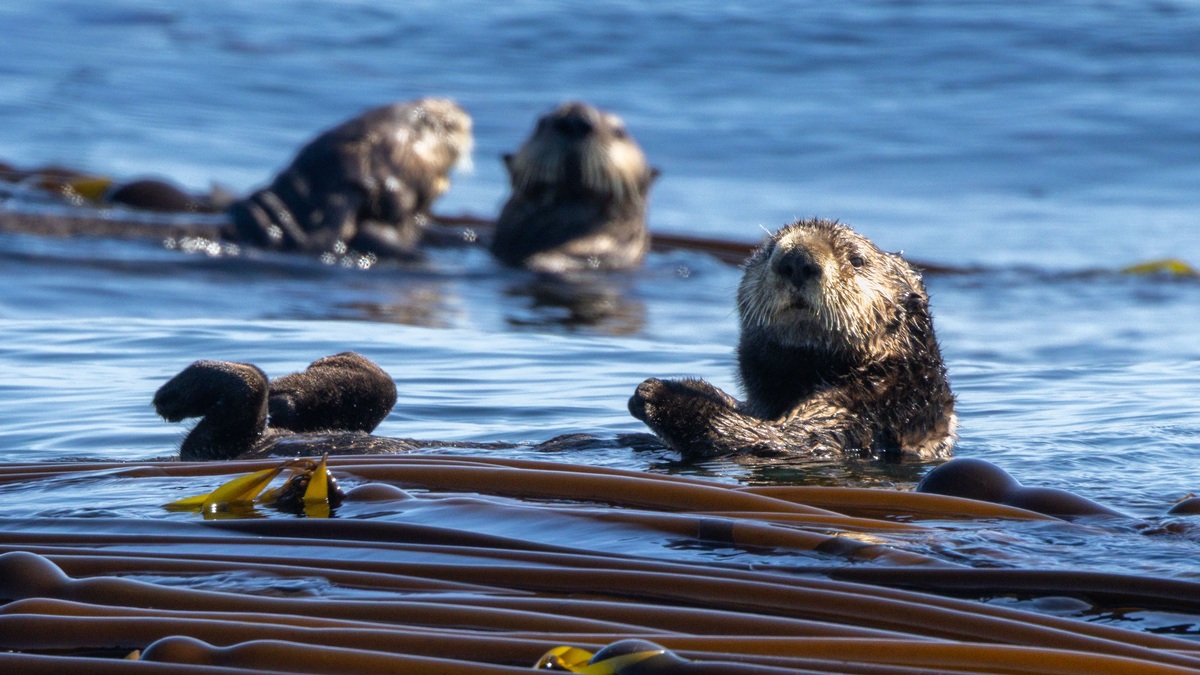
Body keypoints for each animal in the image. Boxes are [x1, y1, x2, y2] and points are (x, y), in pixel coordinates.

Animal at [628, 218, 956, 460]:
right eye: (768, 250)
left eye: (857, 260)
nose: (797, 260)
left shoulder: (862, 415)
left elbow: (778, 439)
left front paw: (656, 393)